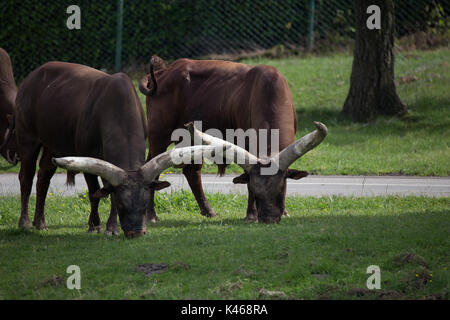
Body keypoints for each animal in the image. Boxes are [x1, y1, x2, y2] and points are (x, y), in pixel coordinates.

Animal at [15, 62, 221, 238]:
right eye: (123, 205)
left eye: (145, 204)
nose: (136, 232)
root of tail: (34, 75)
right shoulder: (86, 156)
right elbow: (95, 192)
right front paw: (96, 225)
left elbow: (108, 190)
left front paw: (111, 227)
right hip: (27, 138)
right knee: (26, 177)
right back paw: (25, 222)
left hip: (52, 144)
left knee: (44, 177)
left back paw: (40, 222)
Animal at [138, 56, 326, 222]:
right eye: (256, 193)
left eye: (282, 190)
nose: (269, 218)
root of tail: (164, 71)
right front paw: (251, 215)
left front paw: (285, 212)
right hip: (159, 136)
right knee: (154, 168)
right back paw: (151, 215)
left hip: (190, 139)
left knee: (191, 171)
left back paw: (209, 211)